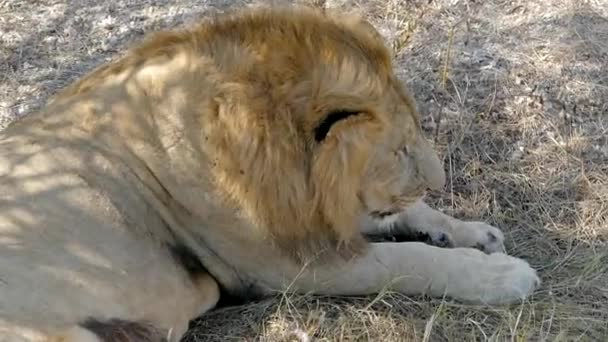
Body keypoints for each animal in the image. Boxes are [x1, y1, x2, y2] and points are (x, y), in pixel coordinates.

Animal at [1, 6, 540, 342]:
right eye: (402, 149)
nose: (438, 181)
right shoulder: (287, 263)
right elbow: (410, 259)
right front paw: (501, 274)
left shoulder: (313, 210)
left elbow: (405, 218)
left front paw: (472, 231)